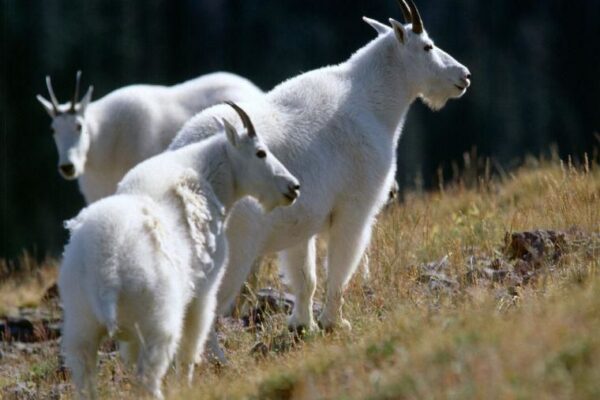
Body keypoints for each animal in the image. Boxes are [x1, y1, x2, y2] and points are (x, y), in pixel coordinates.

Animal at [58, 103, 300, 399]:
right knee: (148, 374)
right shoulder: (204, 291)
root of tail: (107, 271)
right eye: (260, 152)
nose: (293, 187)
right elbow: (190, 348)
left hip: (80, 321)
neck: (211, 180)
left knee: (85, 375)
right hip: (157, 318)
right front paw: (188, 383)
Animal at [170, 0, 471, 360]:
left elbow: (305, 276)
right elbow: (340, 268)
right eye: (427, 46)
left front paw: (302, 326)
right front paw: (334, 323)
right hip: (233, 247)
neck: (373, 102)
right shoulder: (355, 209)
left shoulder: (302, 216)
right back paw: (217, 359)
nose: (464, 76)